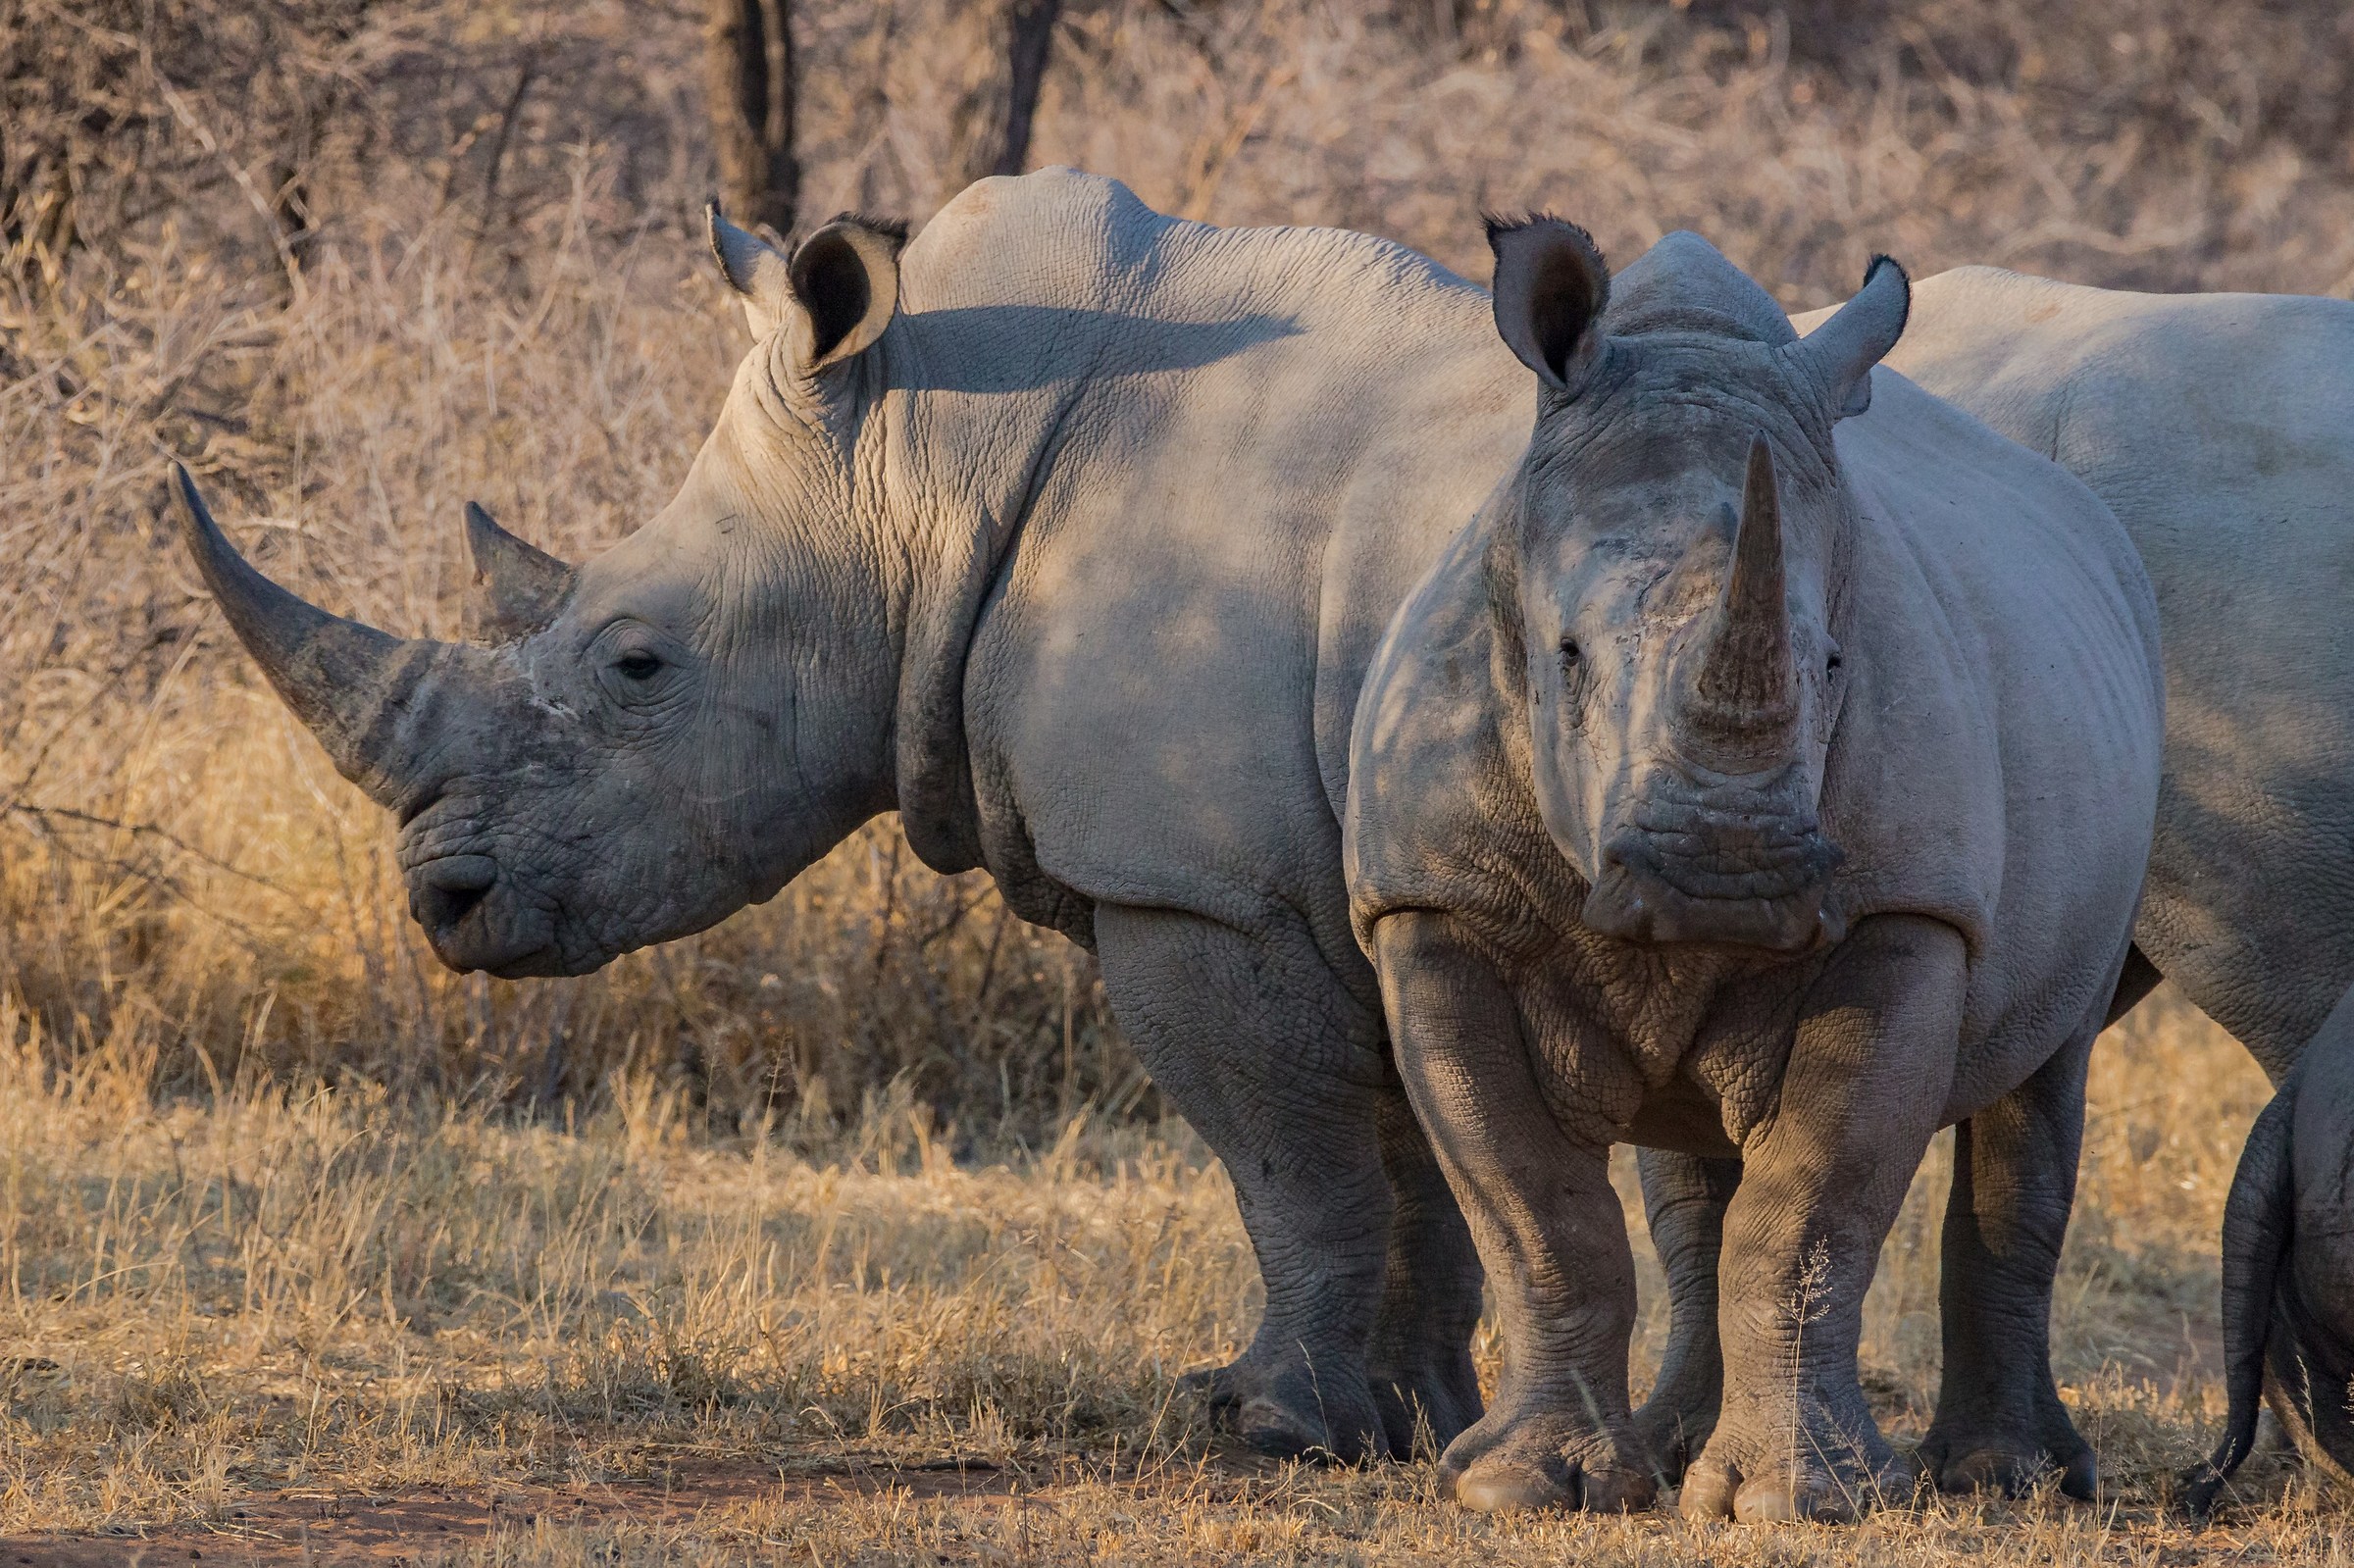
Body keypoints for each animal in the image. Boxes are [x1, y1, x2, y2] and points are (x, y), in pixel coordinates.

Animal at [1346, 222, 2166, 1516]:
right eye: (1565, 656)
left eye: (1830, 664)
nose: (1722, 876)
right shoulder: (1434, 900)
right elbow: (1533, 1211)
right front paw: (1524, 1489)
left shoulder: (1905, 908)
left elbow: (1812, 1214)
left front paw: (1801, 1502)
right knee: (1692, 1171)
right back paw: (1670, 1451)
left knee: (2046, 1072)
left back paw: (2007, 1480)